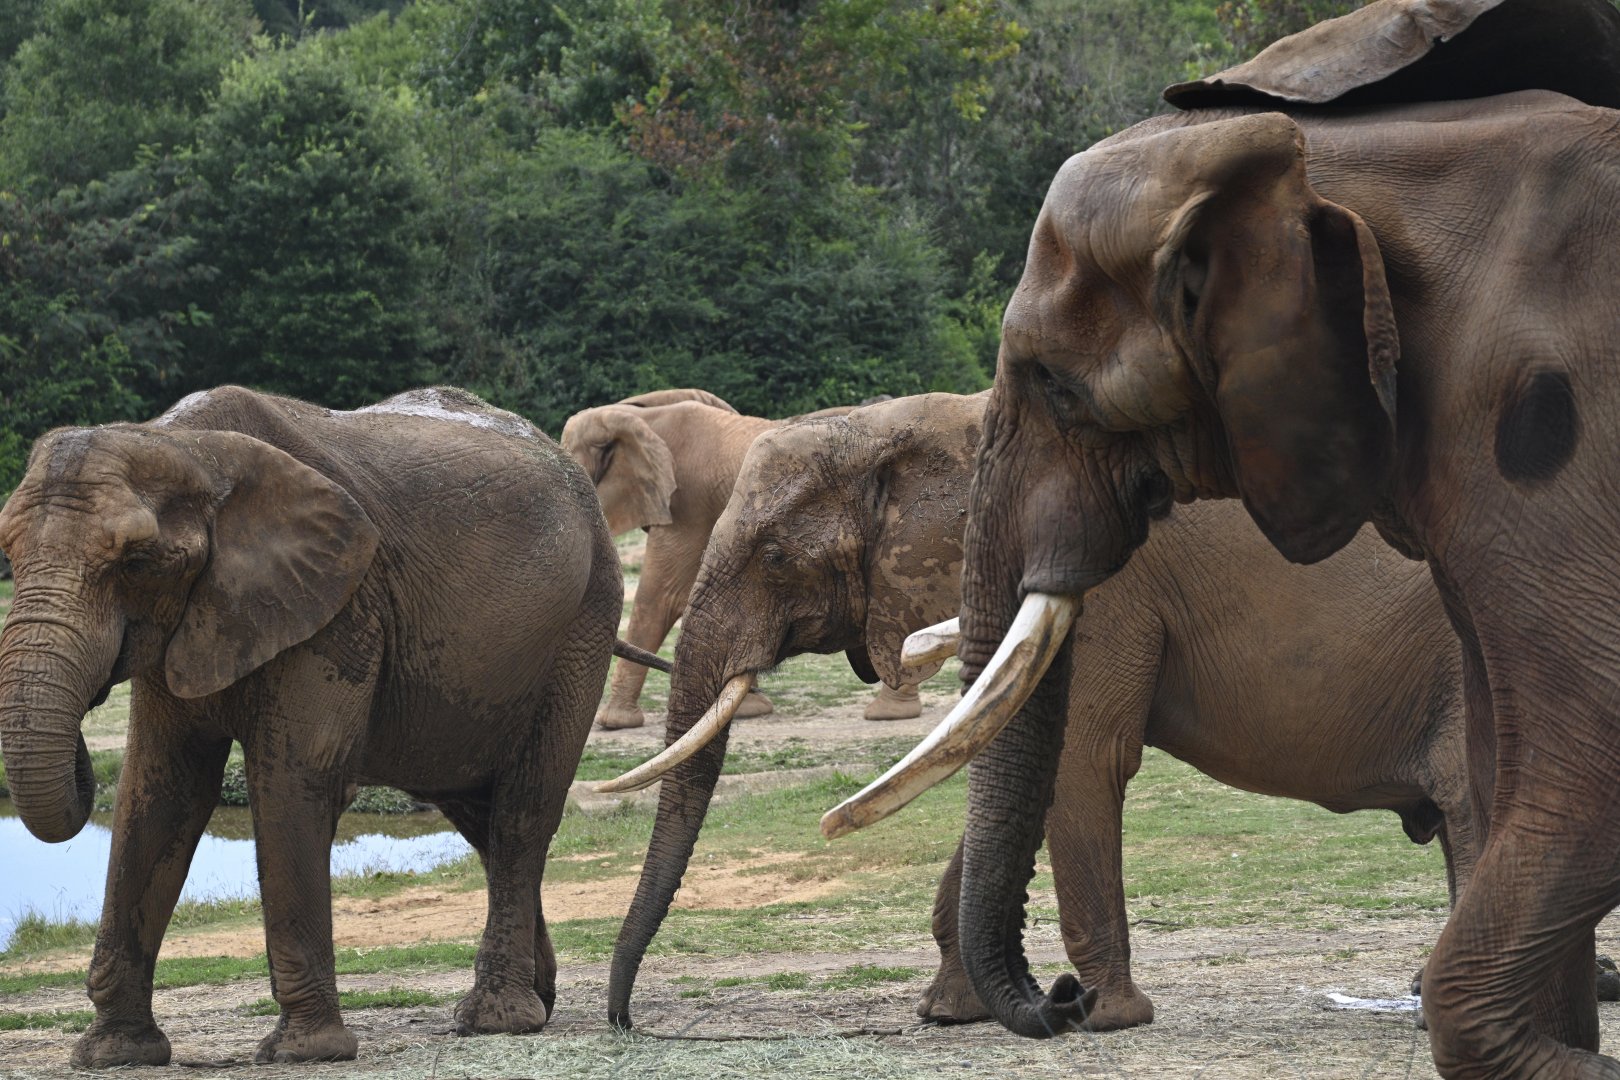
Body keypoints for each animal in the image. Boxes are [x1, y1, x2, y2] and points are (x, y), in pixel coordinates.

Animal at [0, 385, 620, 1066]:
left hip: (585, 619)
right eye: (9, 557)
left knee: (520, 814)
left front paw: (305, 1051)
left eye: (136, 563)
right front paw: (116, 1054)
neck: (183, 446)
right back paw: (539, 1000)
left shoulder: (339, 606)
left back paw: (496, 1019)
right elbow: (158, 792)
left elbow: (293, 780)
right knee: (478, 817)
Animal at [560, 389, 920, 729]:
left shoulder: (687, 503)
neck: (640, 415)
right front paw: (751, 709)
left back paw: (888, 714)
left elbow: (660, 597)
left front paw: (615, 722)